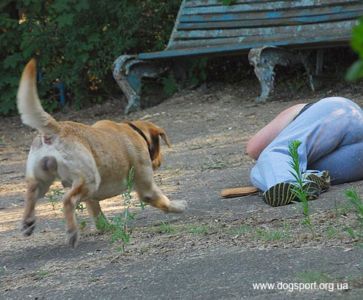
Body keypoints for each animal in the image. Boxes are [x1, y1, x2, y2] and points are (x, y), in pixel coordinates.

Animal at [16, 59, 188, 247]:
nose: (160, 162)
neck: (135, 131)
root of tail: (56, 129)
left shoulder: (91, 199)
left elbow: (98, 216)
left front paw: (108, 227)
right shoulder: (146, 186)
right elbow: (163, 201)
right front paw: (179, 206)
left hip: (44, 179)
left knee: (31, 192)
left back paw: (28, 222)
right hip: (90, 180)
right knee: (68, 200)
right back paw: (72, 233)